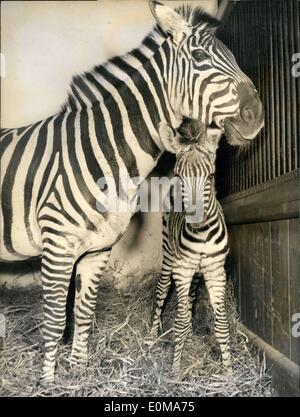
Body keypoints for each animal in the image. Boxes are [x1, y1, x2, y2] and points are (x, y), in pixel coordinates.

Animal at [152, 118, 232, 376]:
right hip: (169, 256)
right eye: (179, 175)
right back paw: (151, 336)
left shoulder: (216, 270)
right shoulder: (182, 270)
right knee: (161, 291)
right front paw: (176, 371)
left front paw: (229, 371)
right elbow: (179, 322)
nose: (195, 219)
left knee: (190, 297)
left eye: (211, 176)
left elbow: (222, 323)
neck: (203, 235)